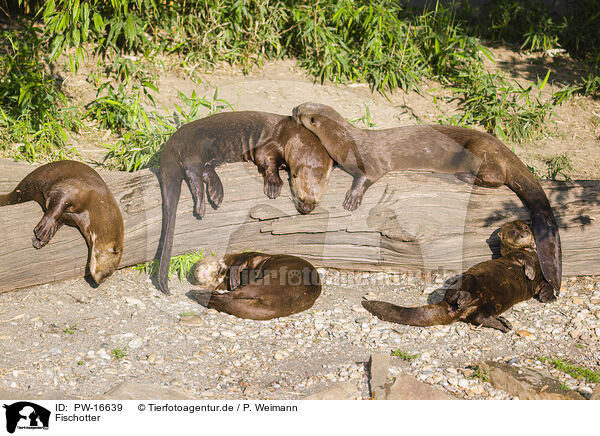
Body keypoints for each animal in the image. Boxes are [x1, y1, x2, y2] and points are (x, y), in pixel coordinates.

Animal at [292, 102, 560, 294]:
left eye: (301, 113)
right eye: (302, 105)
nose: (293, 109)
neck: (345, 142)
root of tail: (505, 148)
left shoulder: (371, 161)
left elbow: (368, 176)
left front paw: (353, 197)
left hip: (481, 151)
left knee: (498, 176)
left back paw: (463, 176)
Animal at [358, 220, 556, 332]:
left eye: (525, 227)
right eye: (513, 232)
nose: (524, 234)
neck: (533, 253)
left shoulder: (541, 277)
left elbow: (546, 284)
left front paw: (549, 297)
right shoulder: (513, 256)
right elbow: (523, 258)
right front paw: (529, 272)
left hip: (487, 306)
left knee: (479, 317)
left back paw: (503, 323)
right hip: (467, 279)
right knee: (455, 293)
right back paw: (464, 298)